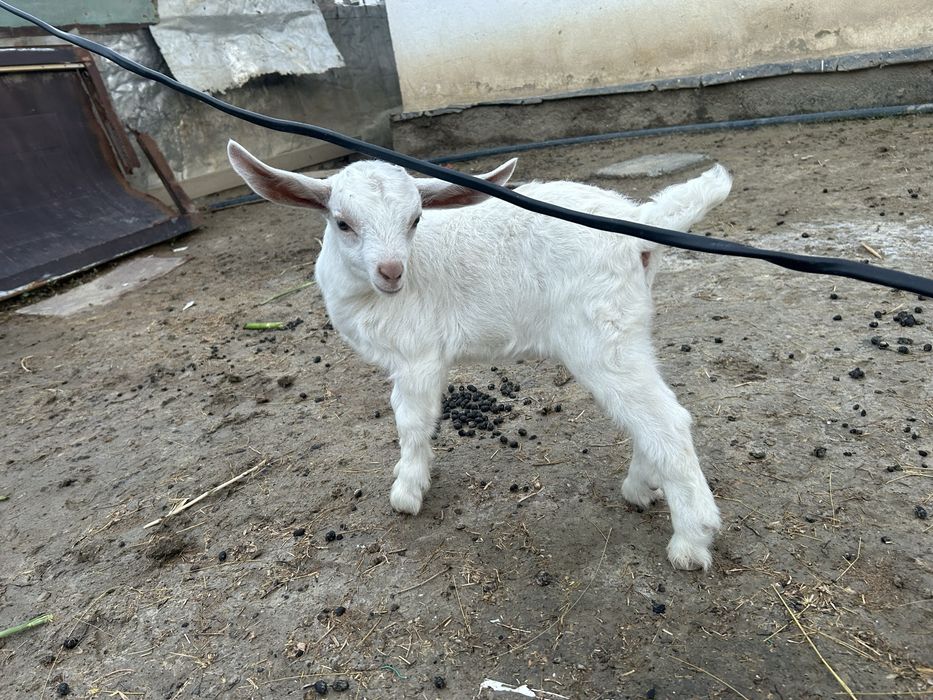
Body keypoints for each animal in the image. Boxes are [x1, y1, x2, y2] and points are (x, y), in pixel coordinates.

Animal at [228, 141, 732, 570]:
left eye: (415, 220)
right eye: (342, 222)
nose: (391, 272)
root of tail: (637, 225)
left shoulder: (418, 356)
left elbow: (411, 422)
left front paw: (407, 491)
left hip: (599, 335)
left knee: (666, 421)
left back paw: (691, 540)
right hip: (626, 330)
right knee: (650, 414)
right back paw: (641, 488)